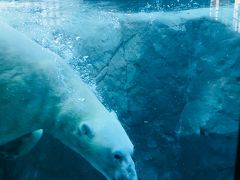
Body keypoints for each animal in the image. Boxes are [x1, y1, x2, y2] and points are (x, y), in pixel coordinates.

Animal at [0, 21, 137, 180]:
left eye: (132, 151)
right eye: (117, 155)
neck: (61, 87)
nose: (131, 176)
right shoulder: (20, 94)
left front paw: (11, 150)